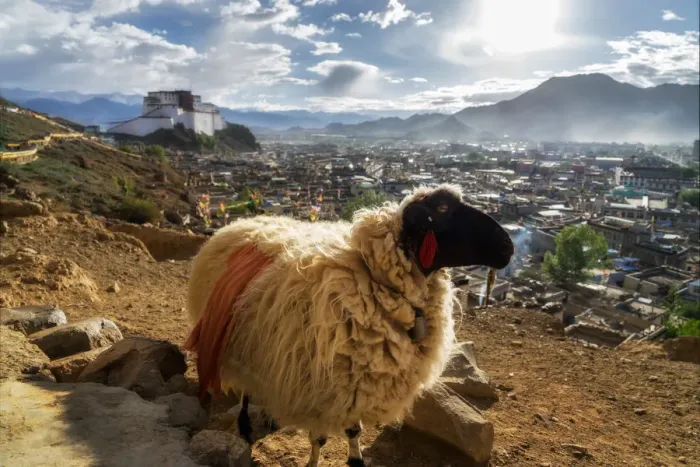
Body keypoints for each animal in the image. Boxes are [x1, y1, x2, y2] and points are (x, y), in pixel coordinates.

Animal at [185, 184, 514, 467]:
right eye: (444, 208)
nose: (508, 248)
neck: (372, 277)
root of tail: (242, 222)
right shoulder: (323, 387)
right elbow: (320, 437)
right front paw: (314, 462)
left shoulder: (359, 380)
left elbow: (354, 430)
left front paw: (356, 459)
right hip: (236, 344)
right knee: (244, 390)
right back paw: (245, 424)